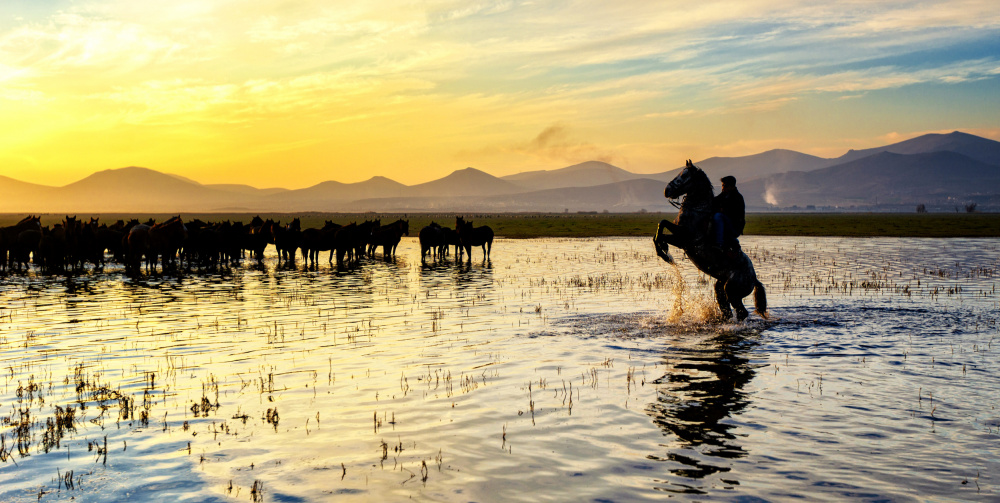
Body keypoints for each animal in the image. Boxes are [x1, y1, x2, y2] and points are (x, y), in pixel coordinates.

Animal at [656, 159, 764, 320]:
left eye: (684, 175)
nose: (666, 190)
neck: (697, 210)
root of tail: (754, 278)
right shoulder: (679, 234)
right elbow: (661, 226)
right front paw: (663, 250)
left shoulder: (683, 239)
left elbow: (662, 227)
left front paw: (663, 253)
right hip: (720, 285)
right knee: (726, 308)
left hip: (732, 290)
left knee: (741, 312)